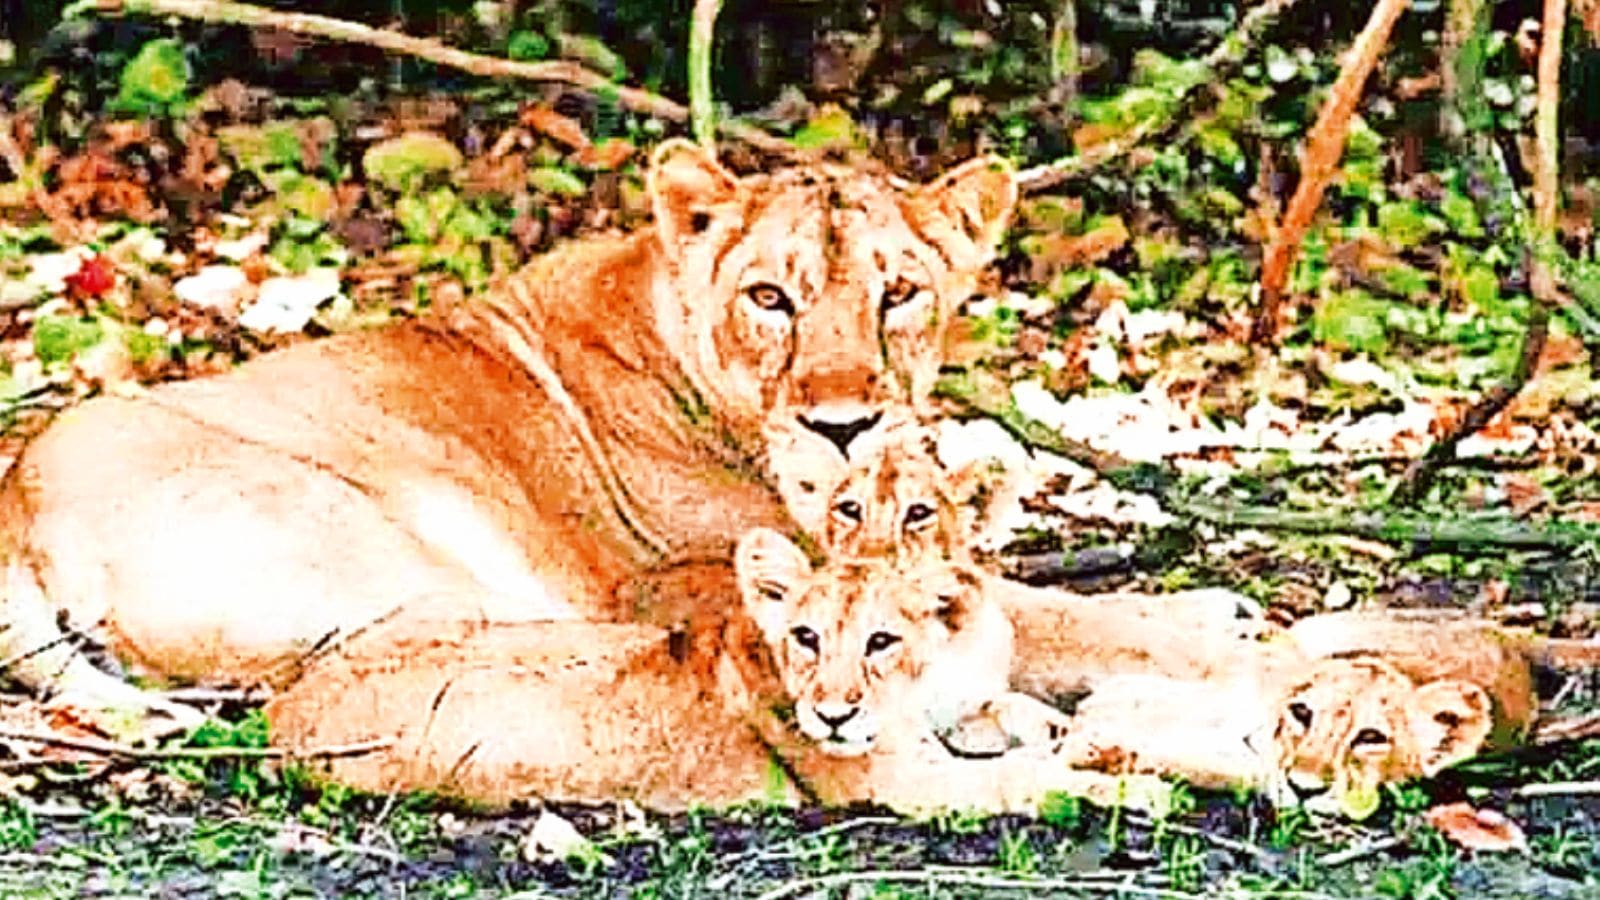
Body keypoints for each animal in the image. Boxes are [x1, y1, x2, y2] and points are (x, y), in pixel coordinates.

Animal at [266, 527, 1170, 815]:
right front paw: (1135, 784)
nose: (833, 714)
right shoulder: (907, 788)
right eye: (804, 637)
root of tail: (280, 712)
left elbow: (1017, 718)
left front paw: (1067, 727)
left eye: (880, 641)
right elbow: (1029, 776)